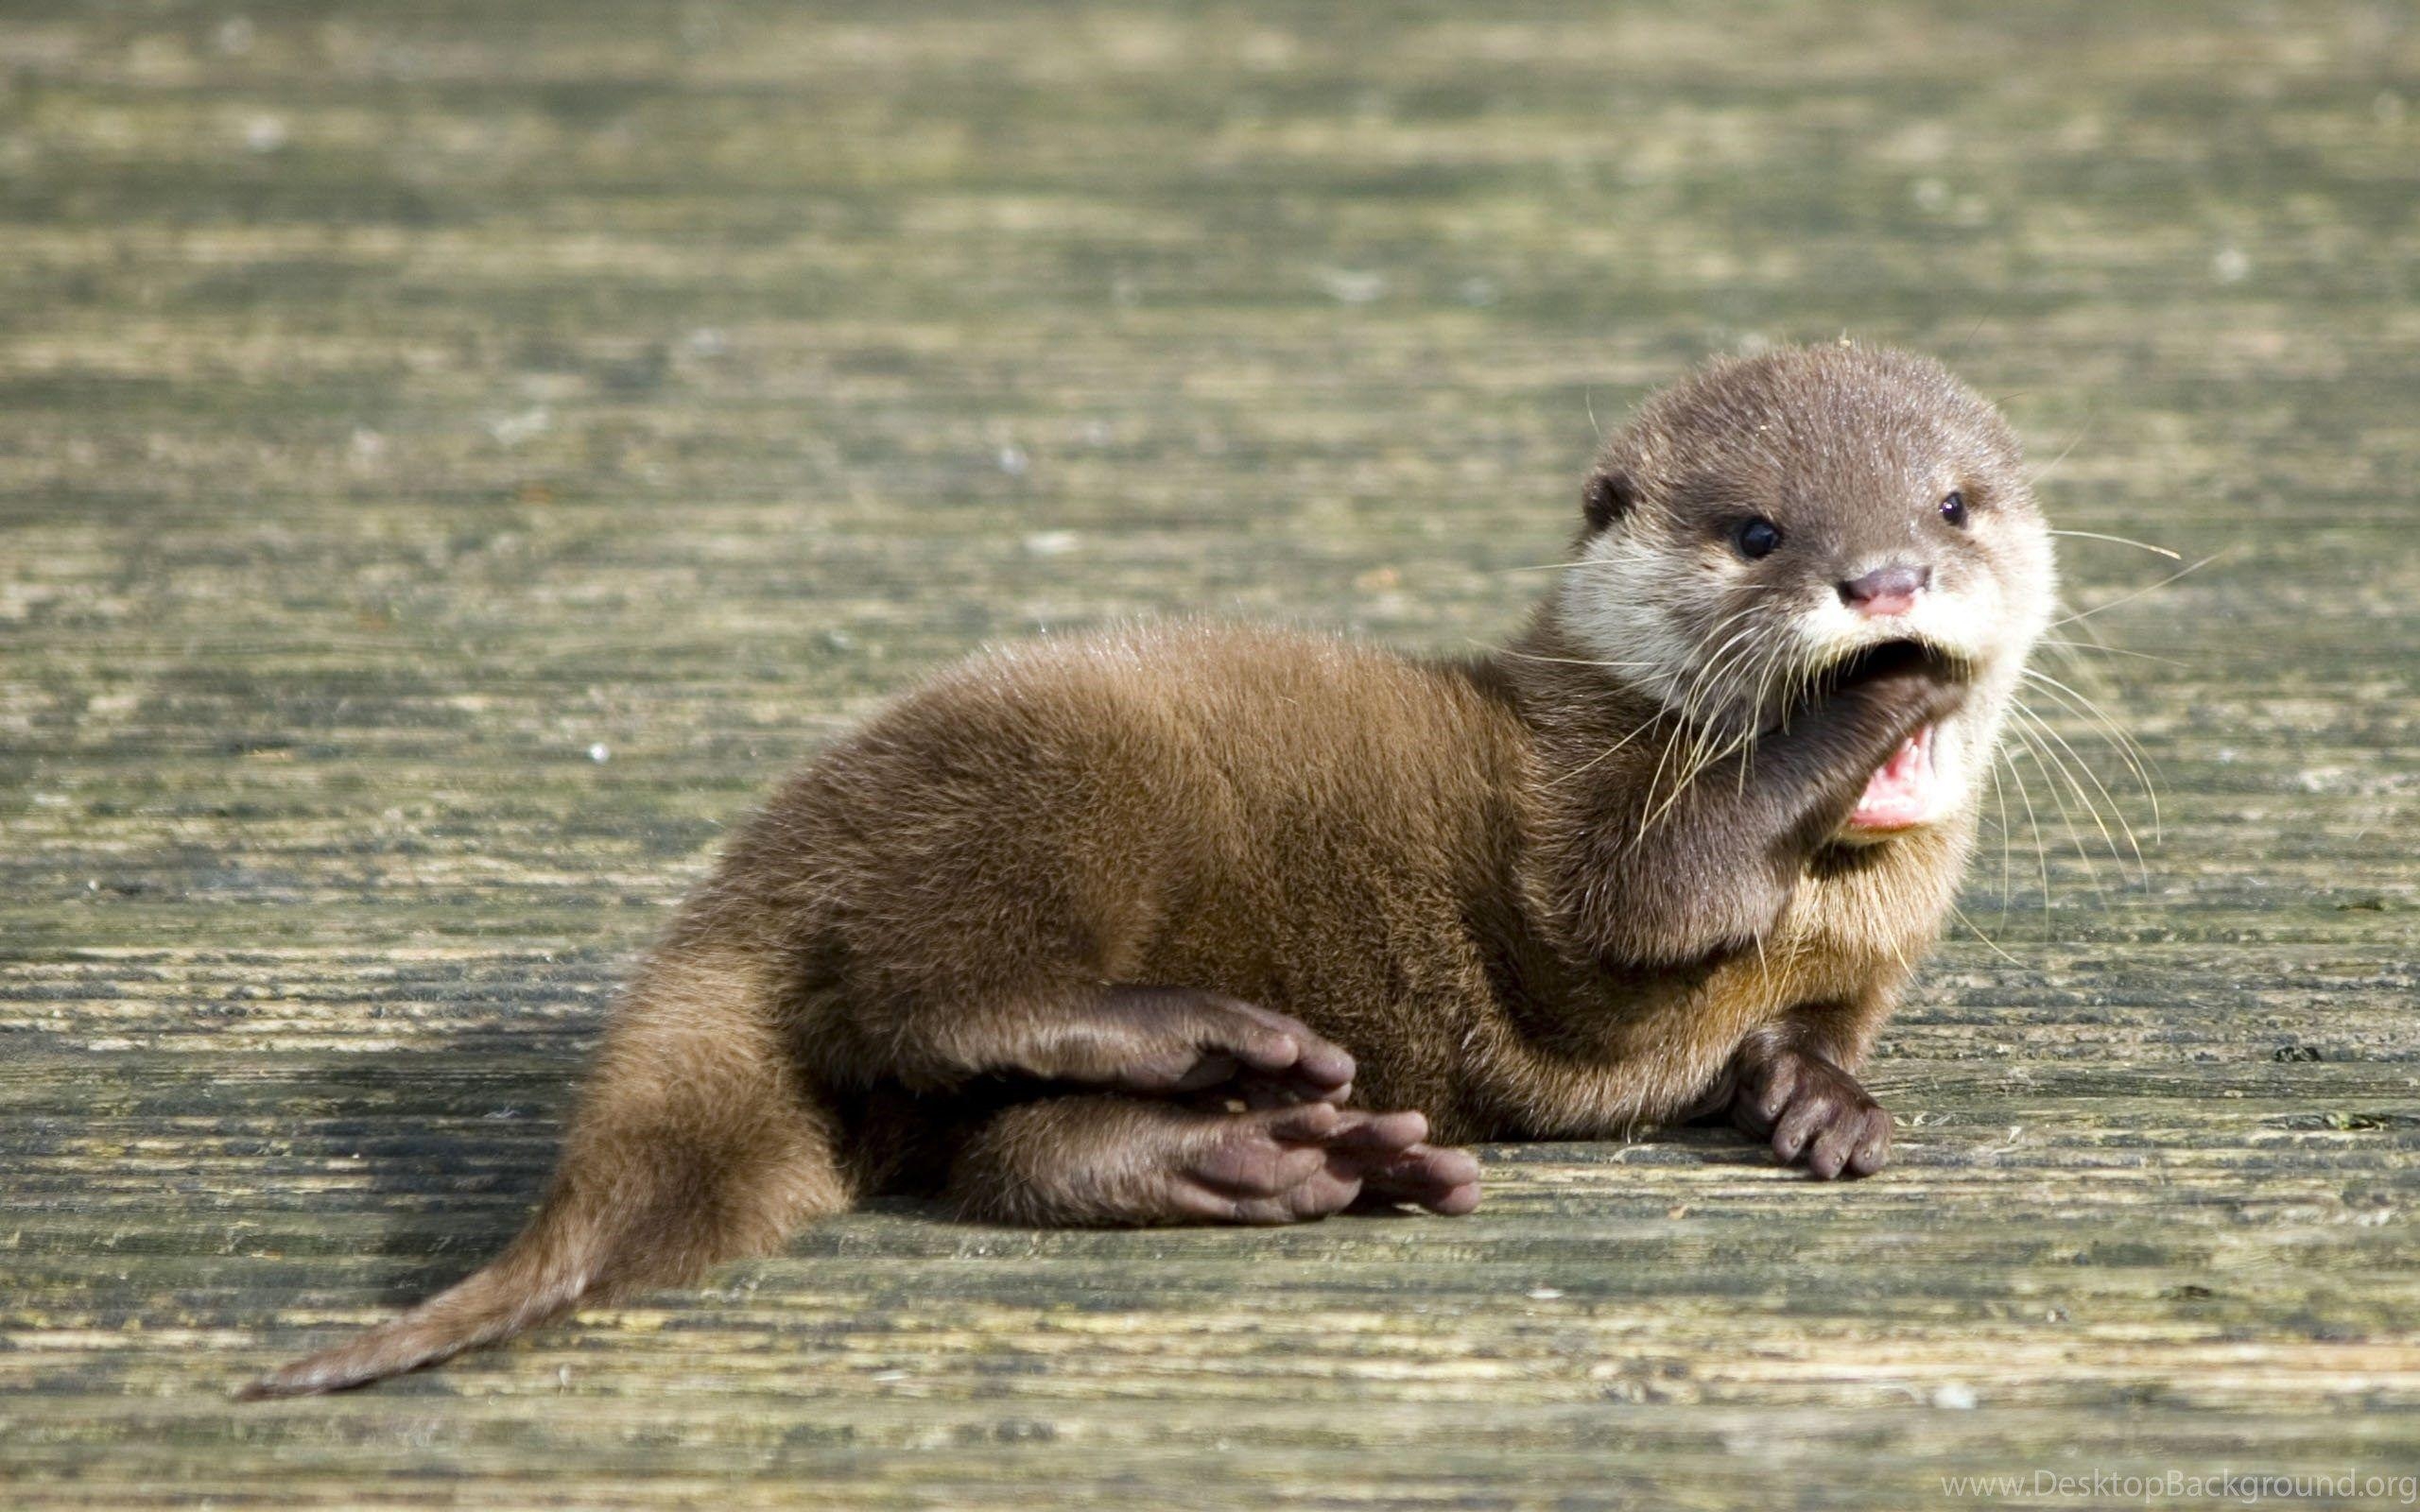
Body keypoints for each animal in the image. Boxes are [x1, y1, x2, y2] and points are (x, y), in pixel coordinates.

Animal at [240, 338, 2062, 1393]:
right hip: (1059, 798)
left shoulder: (1859, 963)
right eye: (1758, 532)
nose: (1885, 582)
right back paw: (1222, 1052)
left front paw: (1822, 1100)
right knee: (934, 996)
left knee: (999, 1149)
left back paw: (1282, 1155)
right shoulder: (1584, 815)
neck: (1843, 905)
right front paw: (1879, 699)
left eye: (1953, 505)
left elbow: (1816, 1032)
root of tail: (768, 859)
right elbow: (1672, 883)